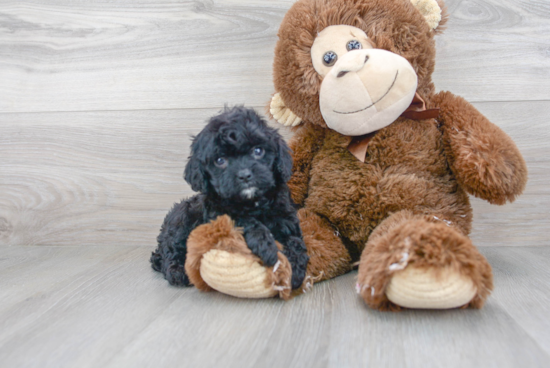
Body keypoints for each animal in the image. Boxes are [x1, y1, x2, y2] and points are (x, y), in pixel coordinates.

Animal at [151, 105, 310, 290]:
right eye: (220, 160)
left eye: (258, 151)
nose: (244, 175)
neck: (252, 202)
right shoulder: (217, 216)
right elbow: (243, 221)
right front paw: (266, 246)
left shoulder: (285, 215)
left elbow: (294, 239)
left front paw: (294, 268)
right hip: (181, 218)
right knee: (171, 249)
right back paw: (177, 271)